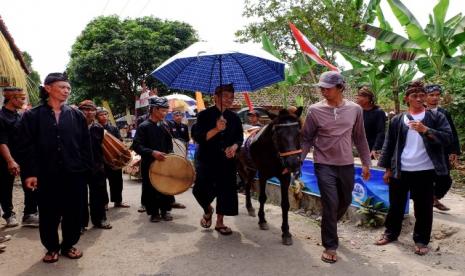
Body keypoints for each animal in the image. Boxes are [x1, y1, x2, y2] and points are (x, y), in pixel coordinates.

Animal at [237, 108, 302, 246]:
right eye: (277, 134)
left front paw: (286, 232)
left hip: (251, 169)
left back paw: (250, 208)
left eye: (299, 132)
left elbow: (285, 204)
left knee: (247, 184)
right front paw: (262, 221)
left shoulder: (285, 177)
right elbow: (262, 198)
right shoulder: (263, 174)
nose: (293, 162)